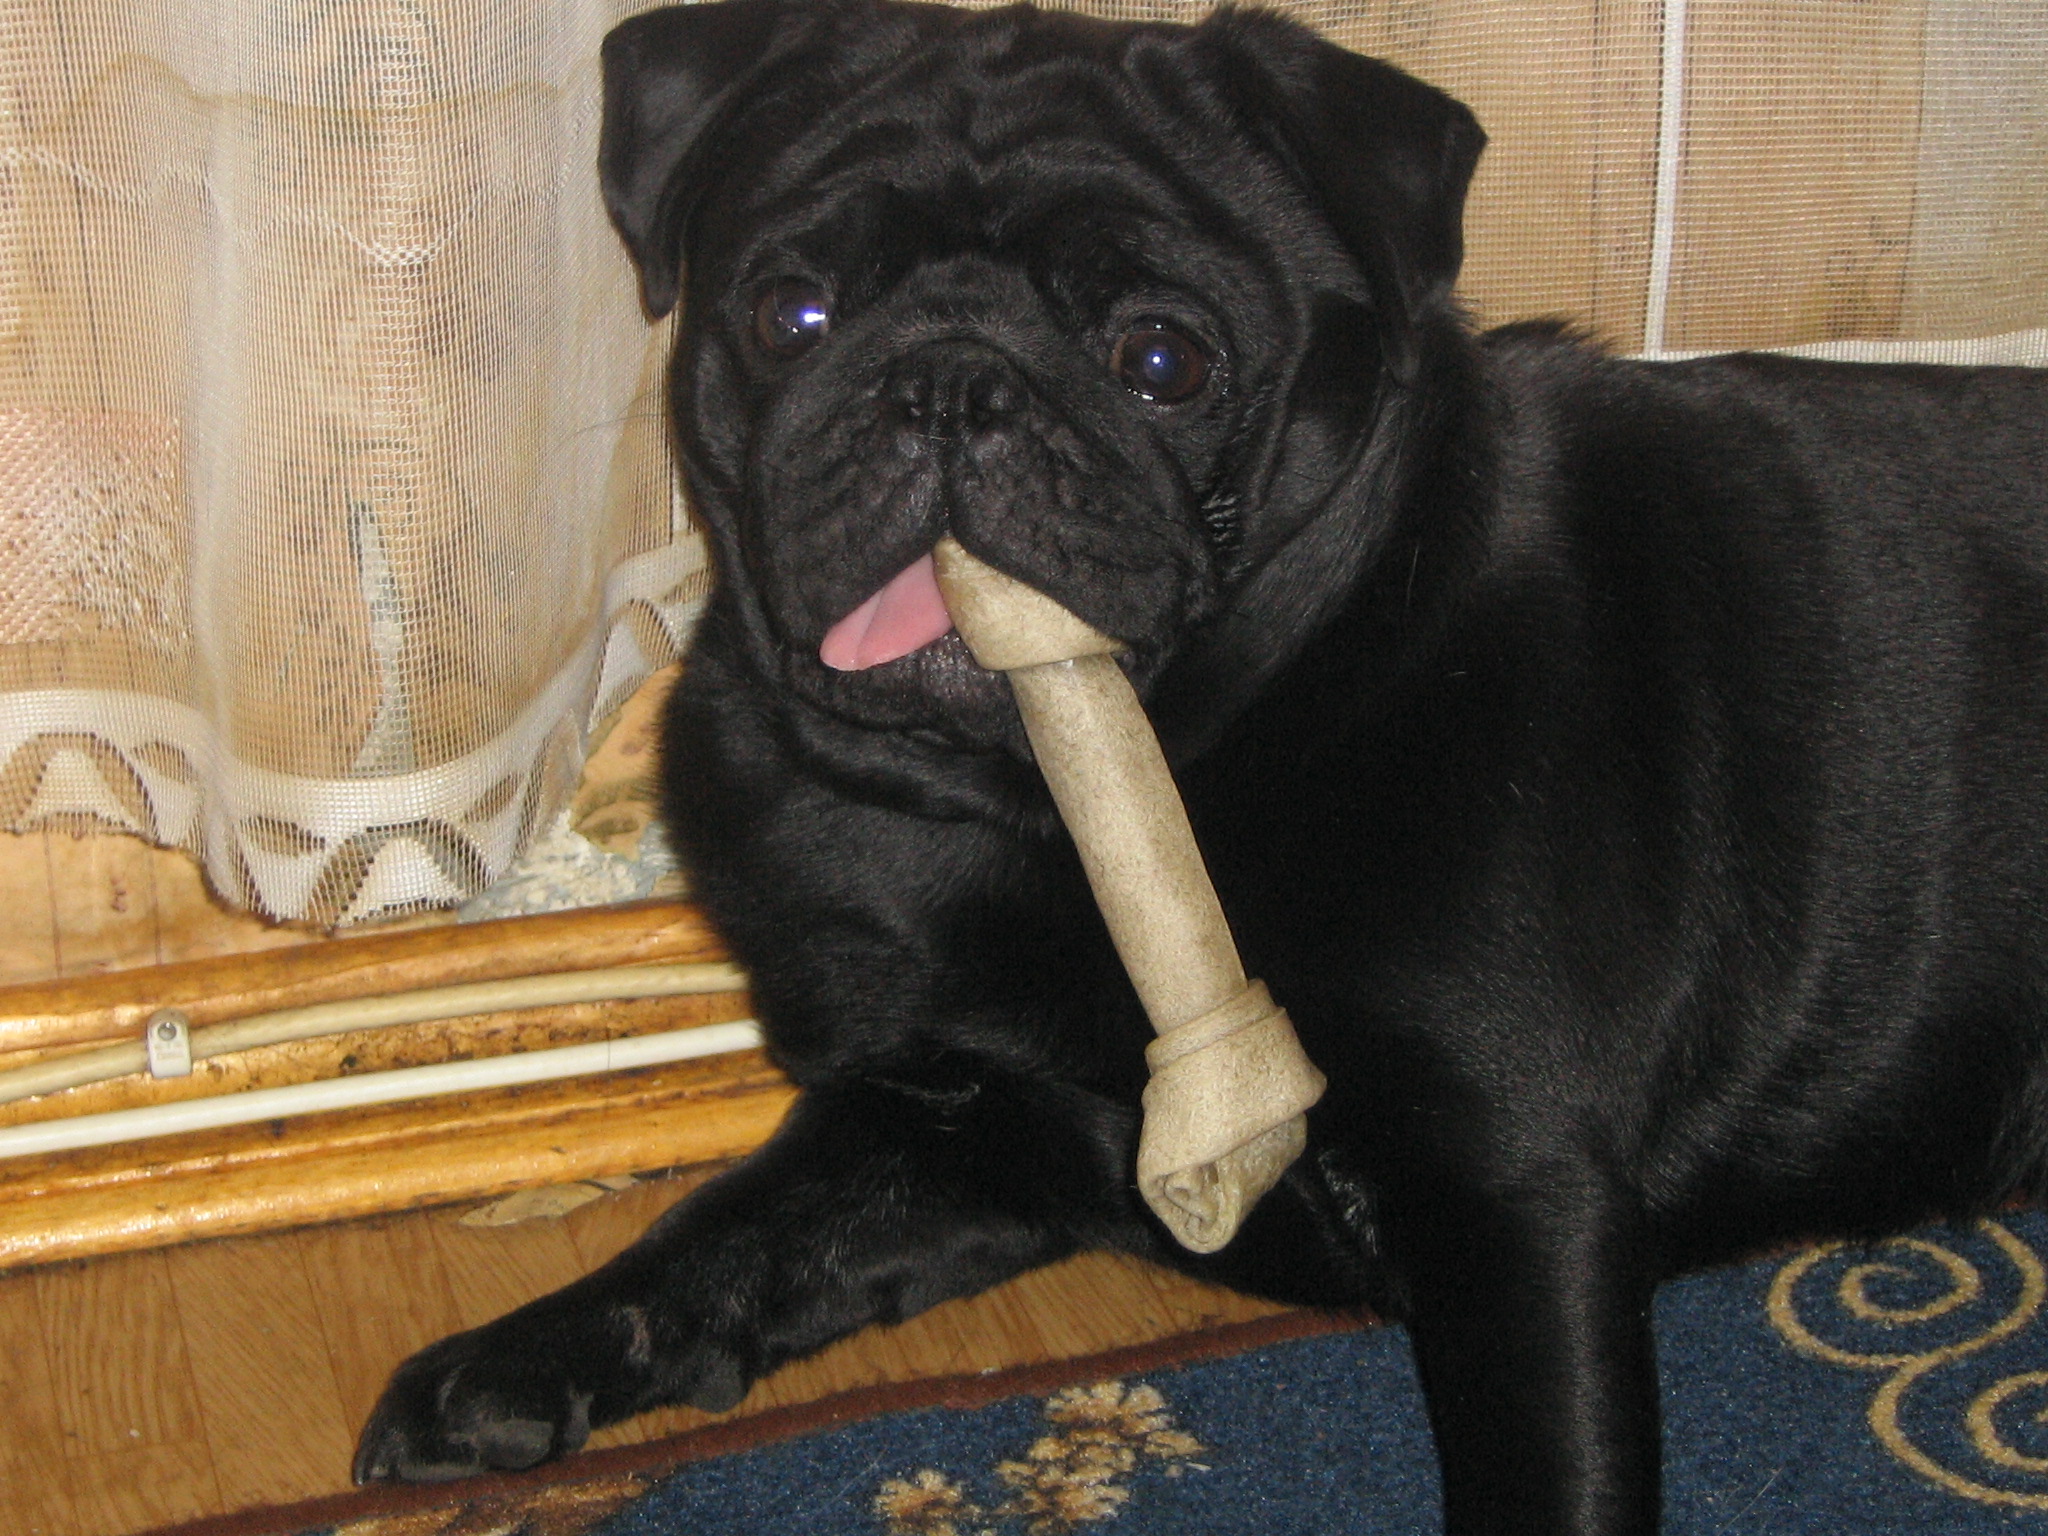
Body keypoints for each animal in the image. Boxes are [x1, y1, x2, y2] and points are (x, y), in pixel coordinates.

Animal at [354, 2, 2048, 1529]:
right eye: (791, 317)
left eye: (1161, 357)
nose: (951, 381)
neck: (1049, 802)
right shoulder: (950, 1120)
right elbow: (735, 1229)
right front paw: (525, 1358)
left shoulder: (1514, 1198)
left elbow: (1543, 1464)